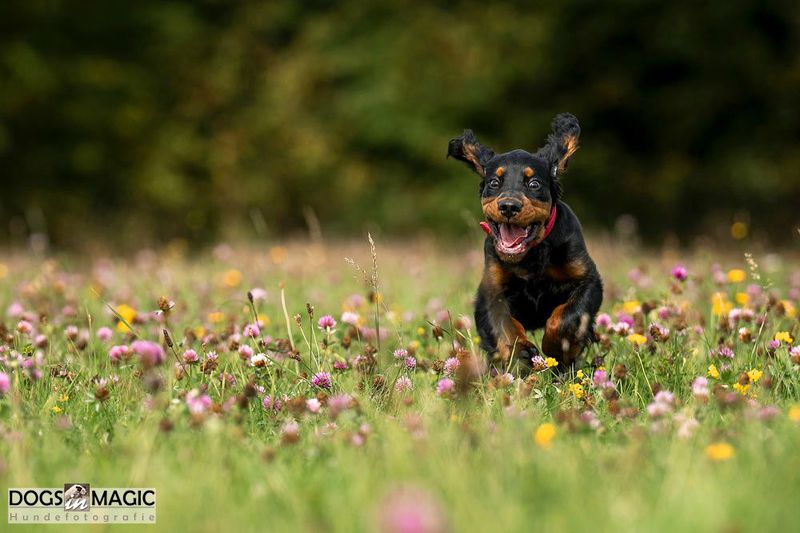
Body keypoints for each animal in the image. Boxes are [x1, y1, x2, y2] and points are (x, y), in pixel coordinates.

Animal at [448, 113, 603, 370]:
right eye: (494, 182)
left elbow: (569, 315)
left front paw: (558, 347)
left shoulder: (588, 280)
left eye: (534, 184)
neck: (531, 254)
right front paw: (520, 352)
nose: (509, 206)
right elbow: (503, 324)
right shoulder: (492, 289)